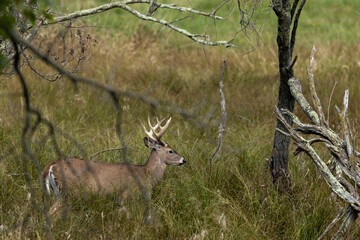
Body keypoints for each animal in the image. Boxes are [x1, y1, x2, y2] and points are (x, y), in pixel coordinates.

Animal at [43, 116, 186, 219]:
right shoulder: (126, 194)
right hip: (69, 191)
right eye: (170, 151)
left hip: (58, 193)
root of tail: (51, 165)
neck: (146, 174)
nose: (183, 160)